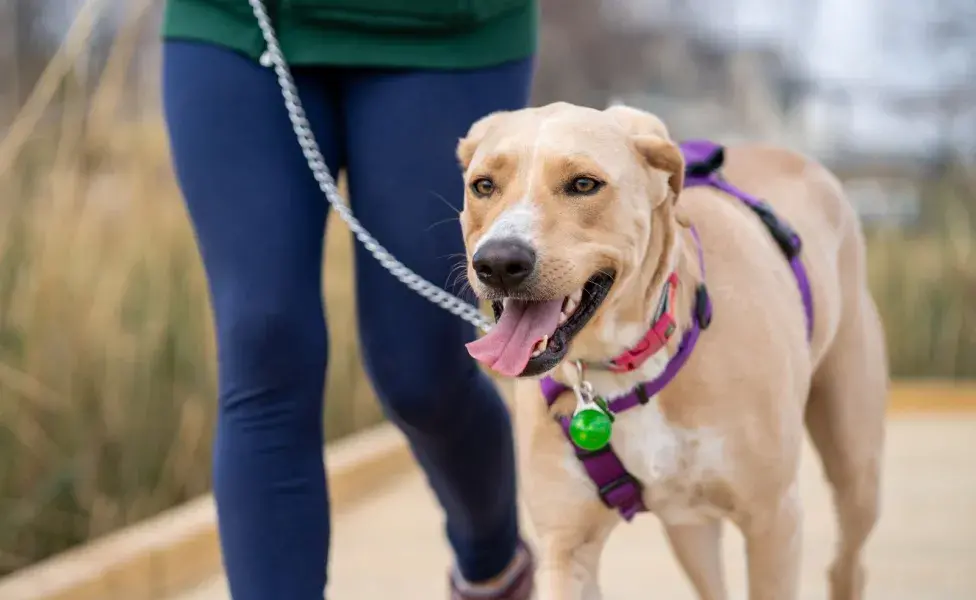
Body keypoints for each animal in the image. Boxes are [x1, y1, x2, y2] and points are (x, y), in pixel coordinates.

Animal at [454, 104, 888, 600]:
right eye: (483, 185)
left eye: (583, 184)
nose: (498, 263)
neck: (622, 369)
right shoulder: (567, 548)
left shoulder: (774, 520)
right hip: (689, 527)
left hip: (856, 468)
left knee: (847, 560)